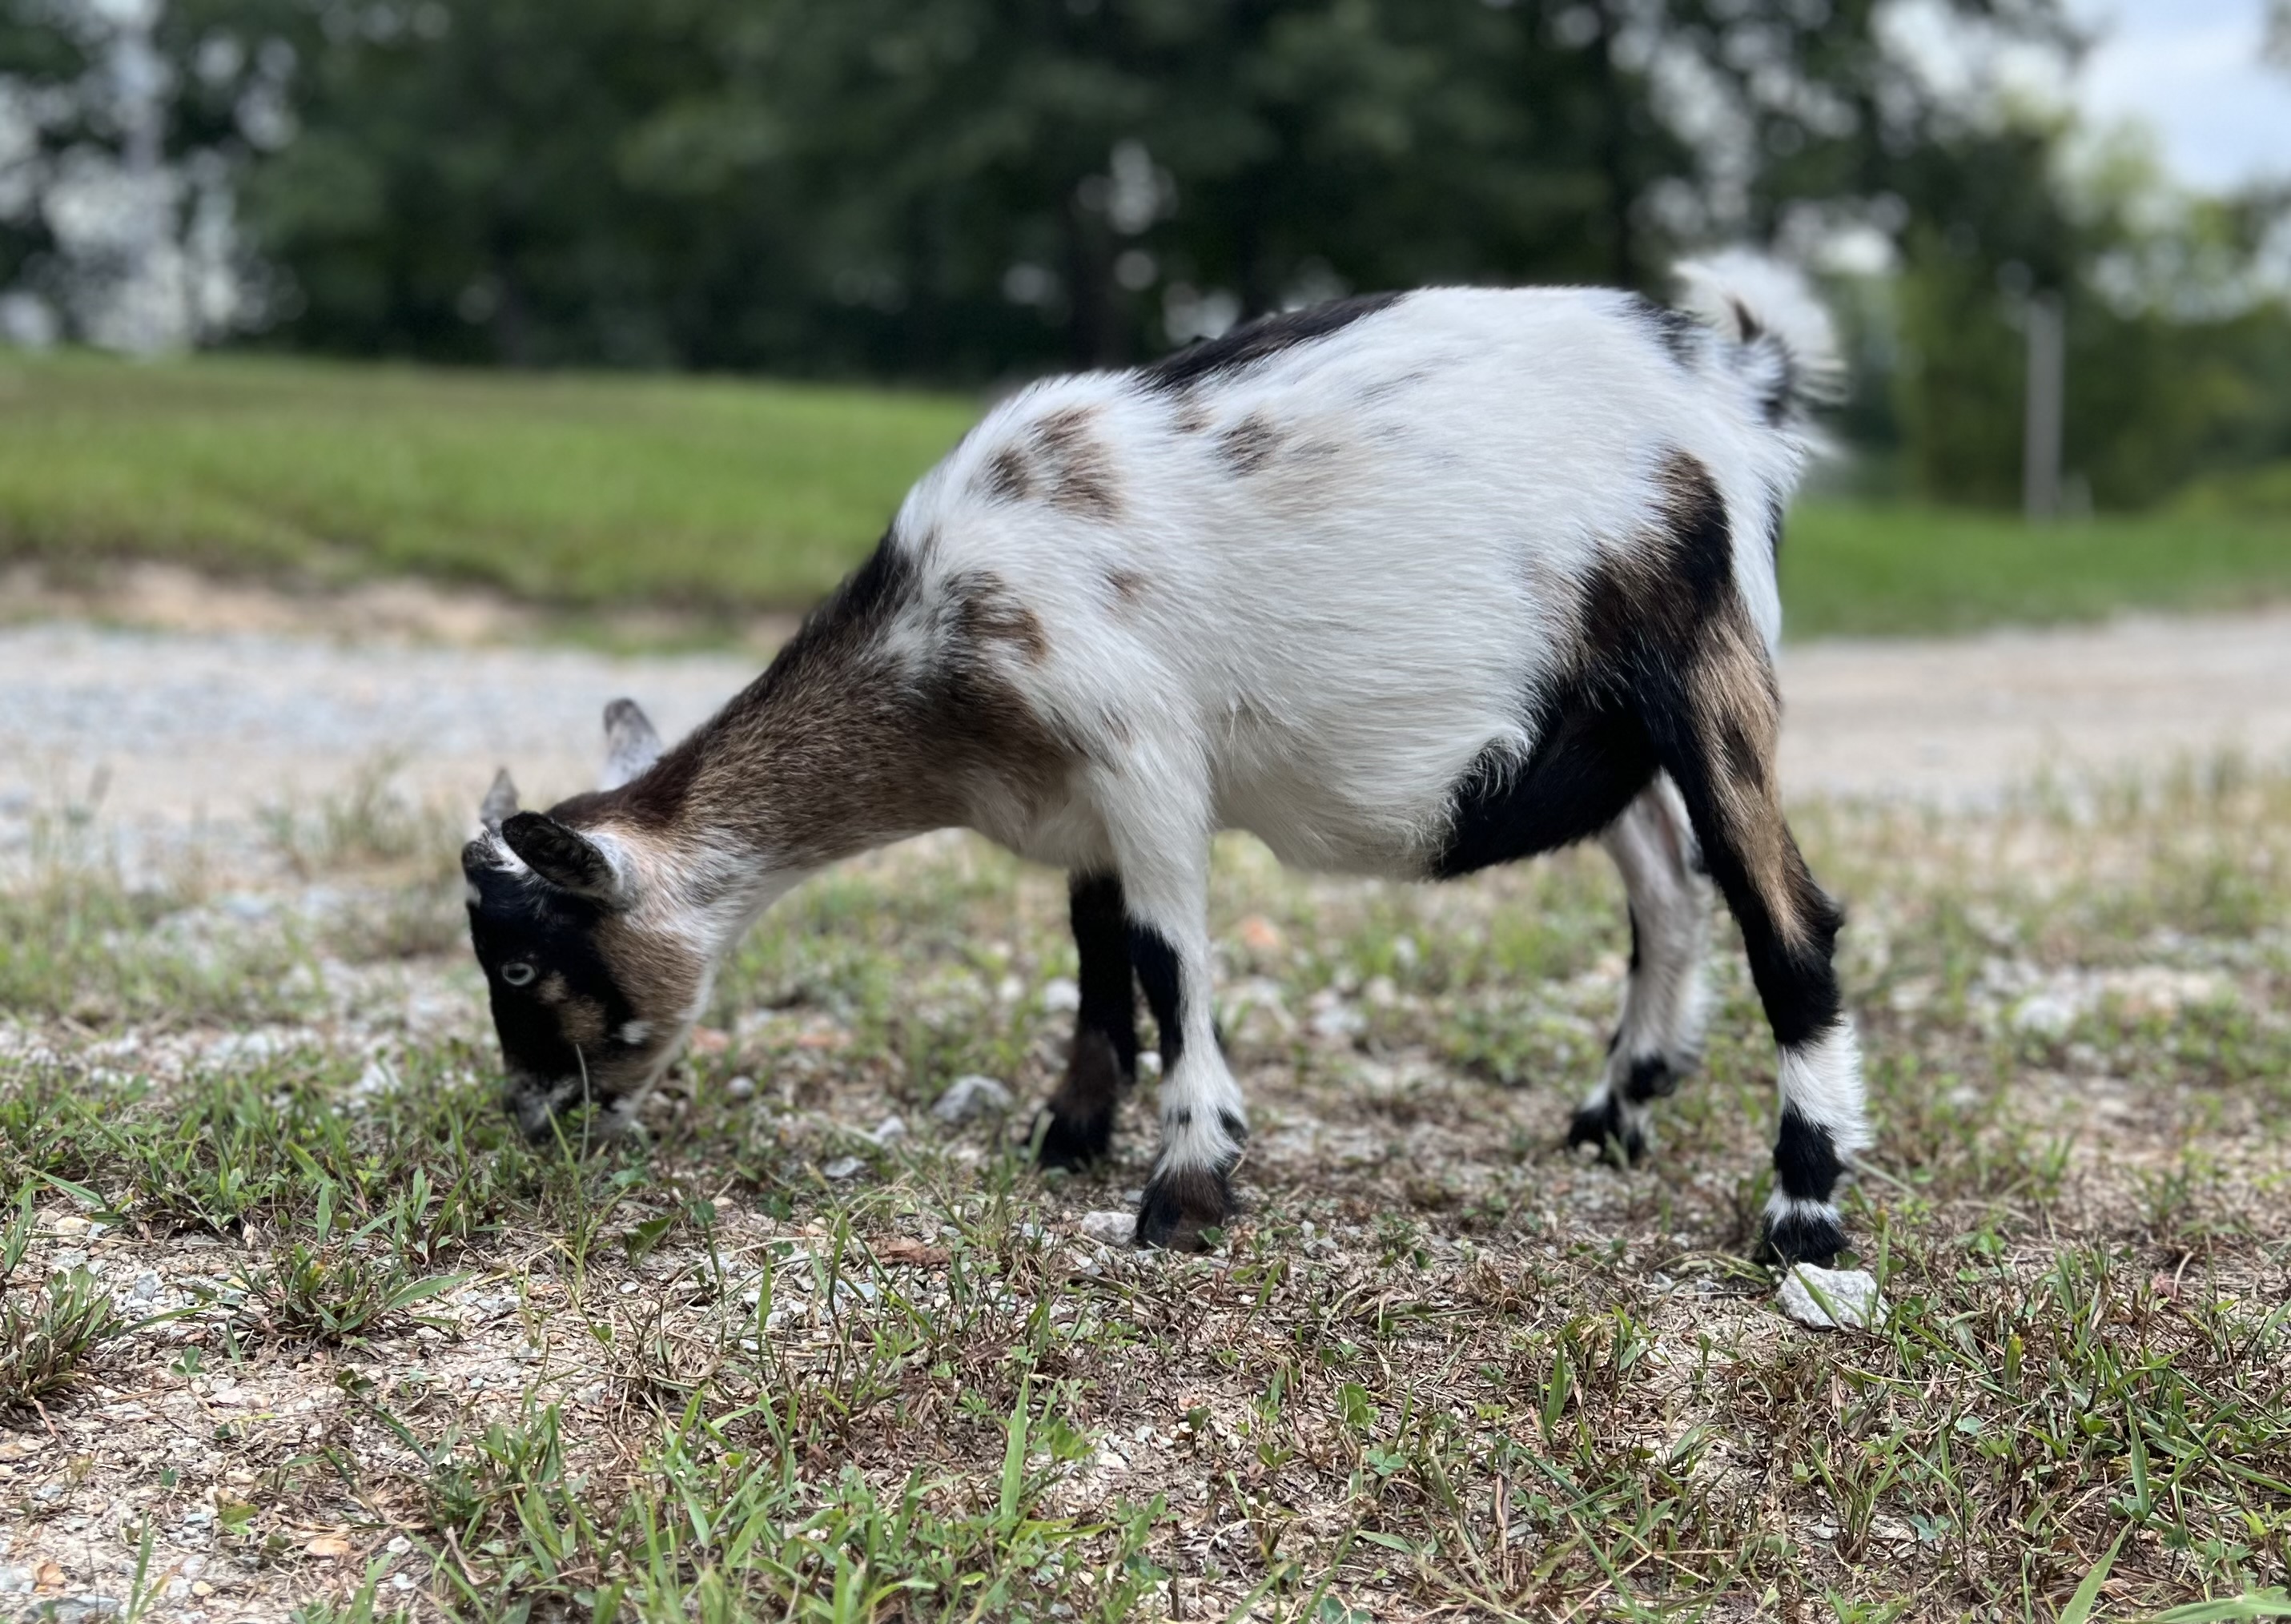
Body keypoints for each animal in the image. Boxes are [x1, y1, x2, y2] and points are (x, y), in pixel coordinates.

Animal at [462, 253, 1867, 1265]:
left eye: (524, 961)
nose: (529, 1118)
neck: (944, 639)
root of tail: (1734, 383)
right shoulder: (1080, 797)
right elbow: (1096, 963)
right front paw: (1070, 1132)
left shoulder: (1142, 756)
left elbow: (1163, 958)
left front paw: (1184, 1189)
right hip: (1593, 725)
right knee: (1666, 887)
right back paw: (1613, 1114)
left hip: (1708, 666)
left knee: (1785, 920)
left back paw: (1800, 1221)